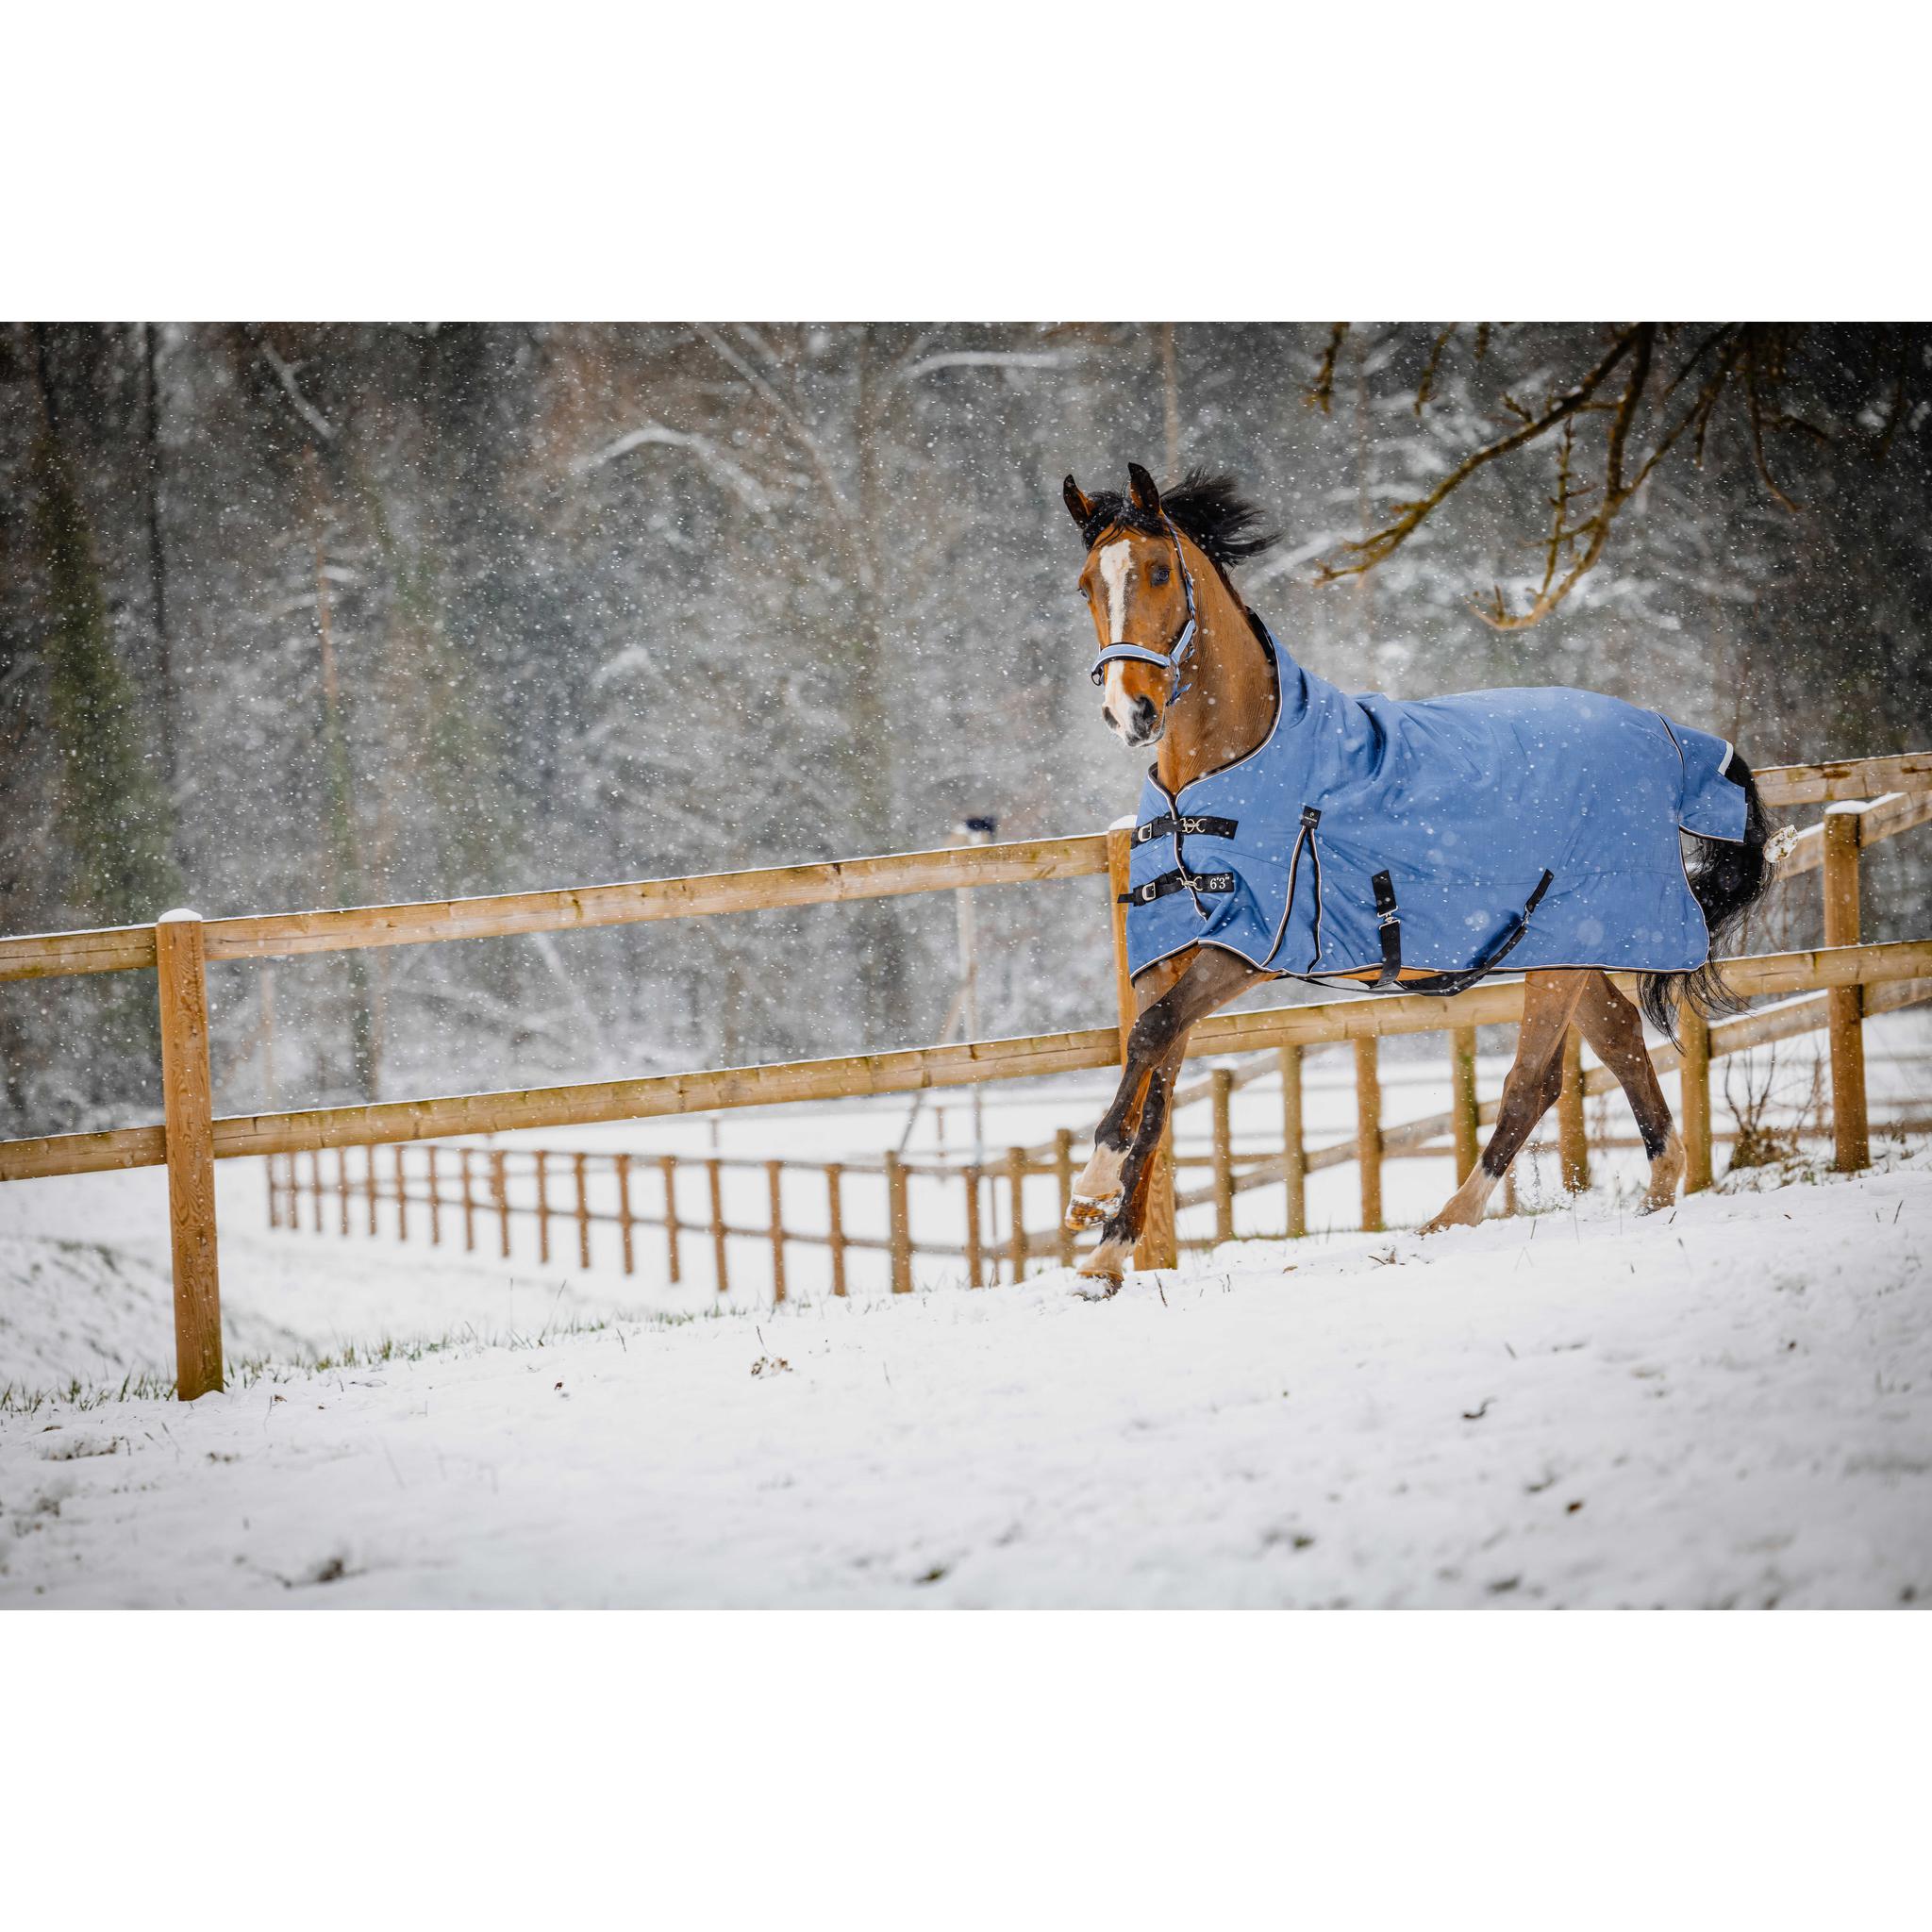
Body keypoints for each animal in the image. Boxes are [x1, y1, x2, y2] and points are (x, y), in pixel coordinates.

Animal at [1061, 463, 1775, 1284]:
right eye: (1086, 585)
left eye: (1155, 572)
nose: (1131, 710)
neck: (1217, 777)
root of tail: (1669, 736)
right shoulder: (1171, 945)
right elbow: (1161, 1071)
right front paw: (1109, 1251)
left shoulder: (1249, 943)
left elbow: (1151, 1038)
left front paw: (1089, 1191)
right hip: (1573, 947)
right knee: (1621, 1043)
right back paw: (1657, 1196)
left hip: (1566, 948)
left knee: (1531, 1085)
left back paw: (1441, 1226)